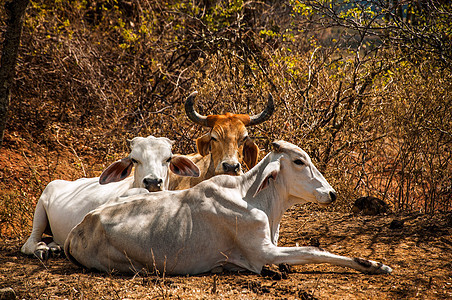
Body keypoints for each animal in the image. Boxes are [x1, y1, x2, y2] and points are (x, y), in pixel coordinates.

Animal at [20, 136, 199, 260]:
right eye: (134, 160)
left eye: (168, 159)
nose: (153, 182)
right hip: (40, 208)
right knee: (29, 243)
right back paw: (41, 249)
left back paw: (55, 248)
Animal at [63, 139, 392, 276]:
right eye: (299, 161)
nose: (332, 194)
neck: (254, 198)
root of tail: (79, 227)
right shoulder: (263, 252)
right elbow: (314, 251)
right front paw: (374, 265)